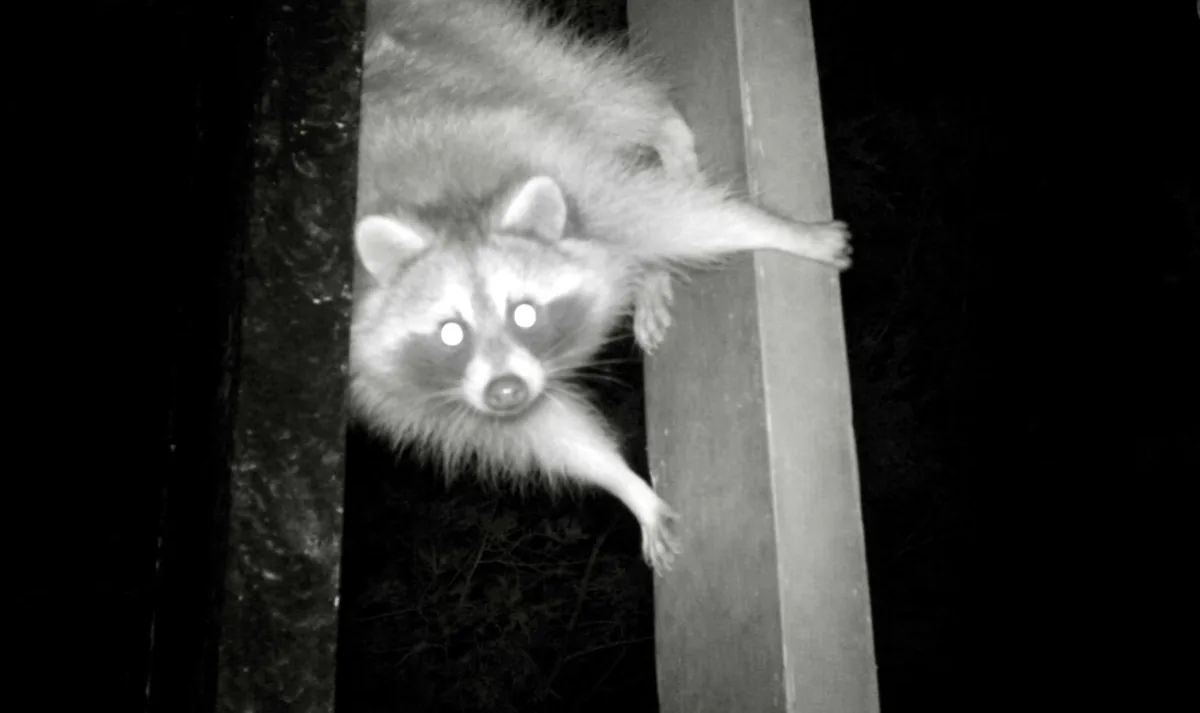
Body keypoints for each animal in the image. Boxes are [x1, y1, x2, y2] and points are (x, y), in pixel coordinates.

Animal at [352, 0, 851, 572]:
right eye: (450, 333)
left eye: (524, 312)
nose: (505, 390)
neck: (451, 214)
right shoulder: (400, 386)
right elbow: (540, 428)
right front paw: (627, 486)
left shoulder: (568, 179)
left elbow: (668, 216)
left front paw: (776, 230)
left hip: (491, 47)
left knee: (601, 97)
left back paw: (666, 135)